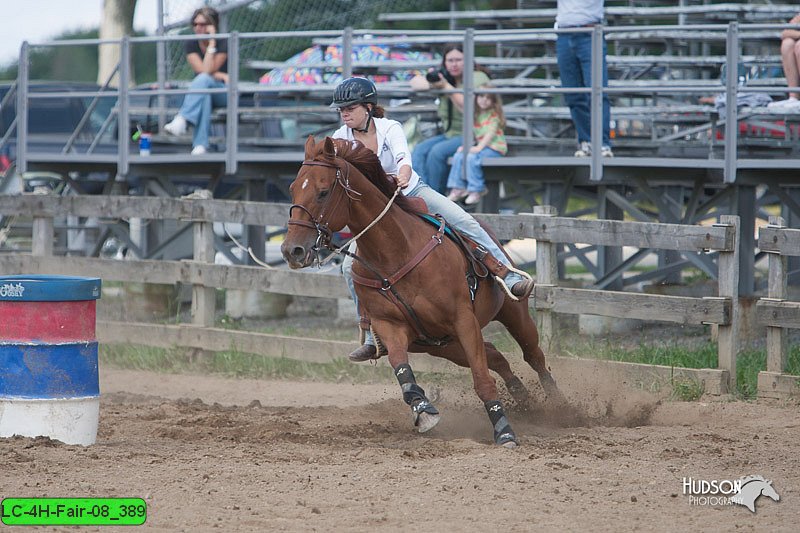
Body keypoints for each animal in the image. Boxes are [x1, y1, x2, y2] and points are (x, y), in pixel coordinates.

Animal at [284, 136, 560, 444]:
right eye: (293, 189)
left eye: (322, 192)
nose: (291, 250)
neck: (395, 251)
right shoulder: (389, 326)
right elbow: (400, 366)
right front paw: (422, 408)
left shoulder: (463, 320)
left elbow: (482, 380)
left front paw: (504, 431)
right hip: (445, 346)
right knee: (495, 356)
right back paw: (523, 399)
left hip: (513, 315)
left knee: (533, 355)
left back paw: (560, 405)